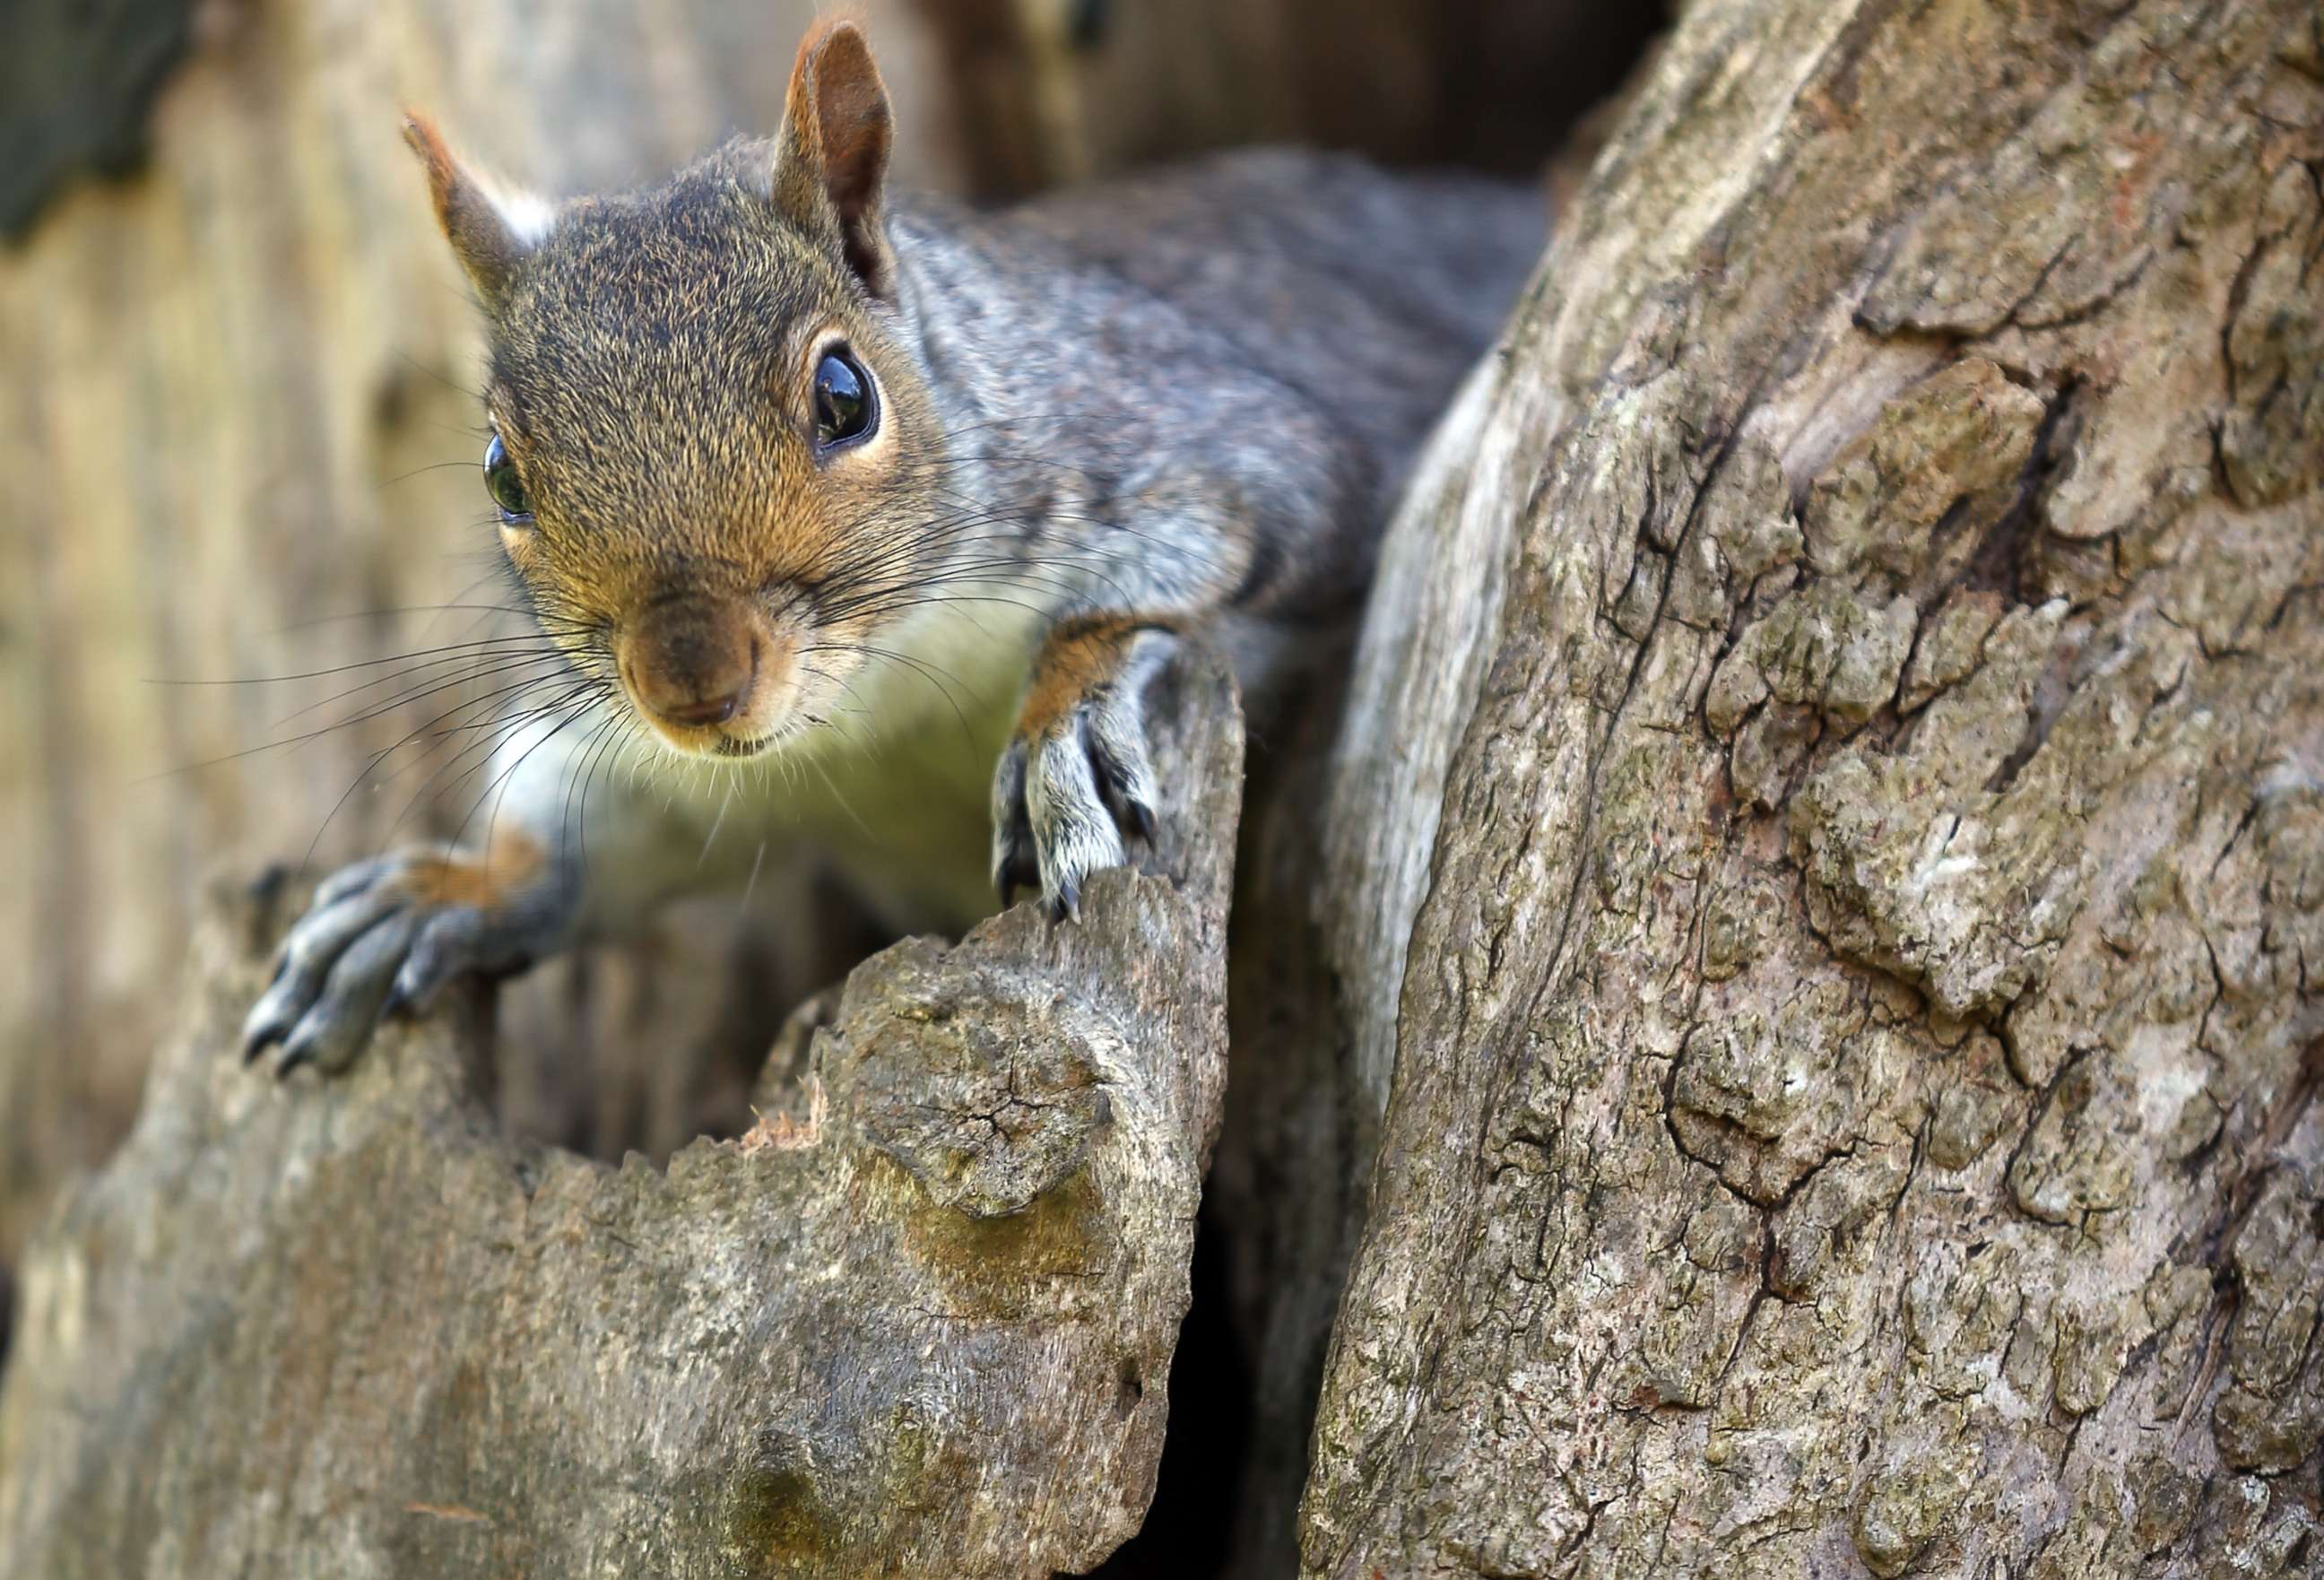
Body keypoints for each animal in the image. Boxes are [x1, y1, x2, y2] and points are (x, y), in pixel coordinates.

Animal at [240, 18, 1543, 1073]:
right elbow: (591, 836)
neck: (875, 705)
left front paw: (1063, 724)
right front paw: (440, 893)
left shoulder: (1216, 447)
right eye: (502, 475)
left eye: (844, 395)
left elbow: (1183, 572)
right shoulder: (664, 763)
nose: (691, 685)